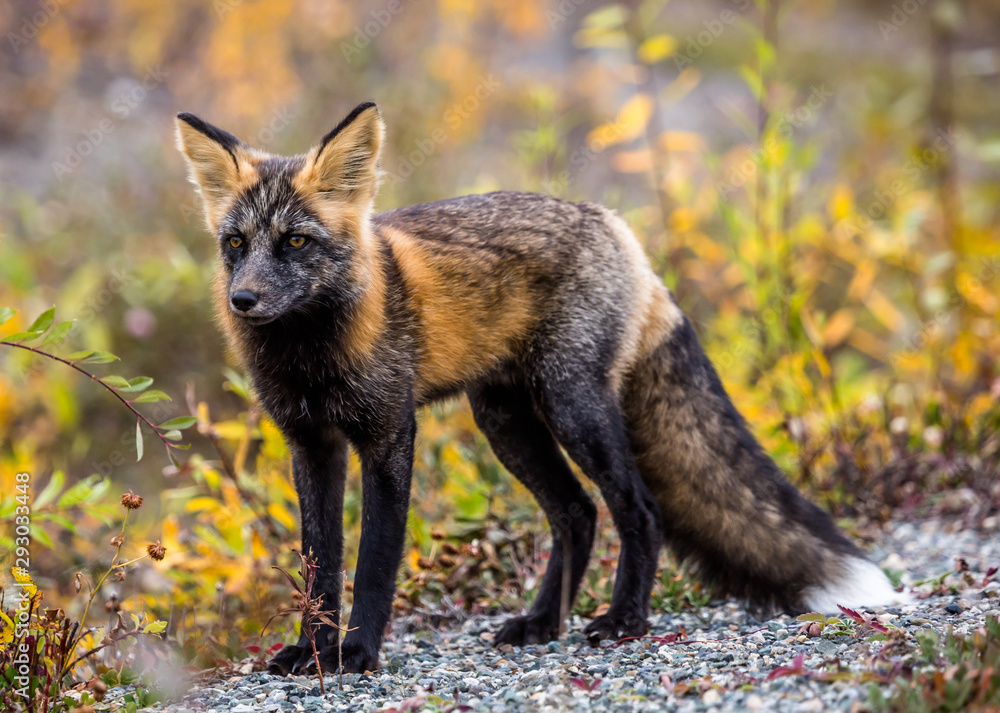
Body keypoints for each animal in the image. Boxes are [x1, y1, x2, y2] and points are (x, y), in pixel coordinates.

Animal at [175, 101, 904, 675]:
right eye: (235, 243)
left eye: (296, 241)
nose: (243, 300)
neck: (312, 358)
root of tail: (614, 224)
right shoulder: (312, 444)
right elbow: (318, 565)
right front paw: (312, 651)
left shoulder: (387, 435)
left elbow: (374, 561)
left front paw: (355, 654)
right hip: (506, 422)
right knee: (577, 512)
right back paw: (542, 623)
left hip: (572, 405)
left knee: (637, 507)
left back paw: (624, 618)